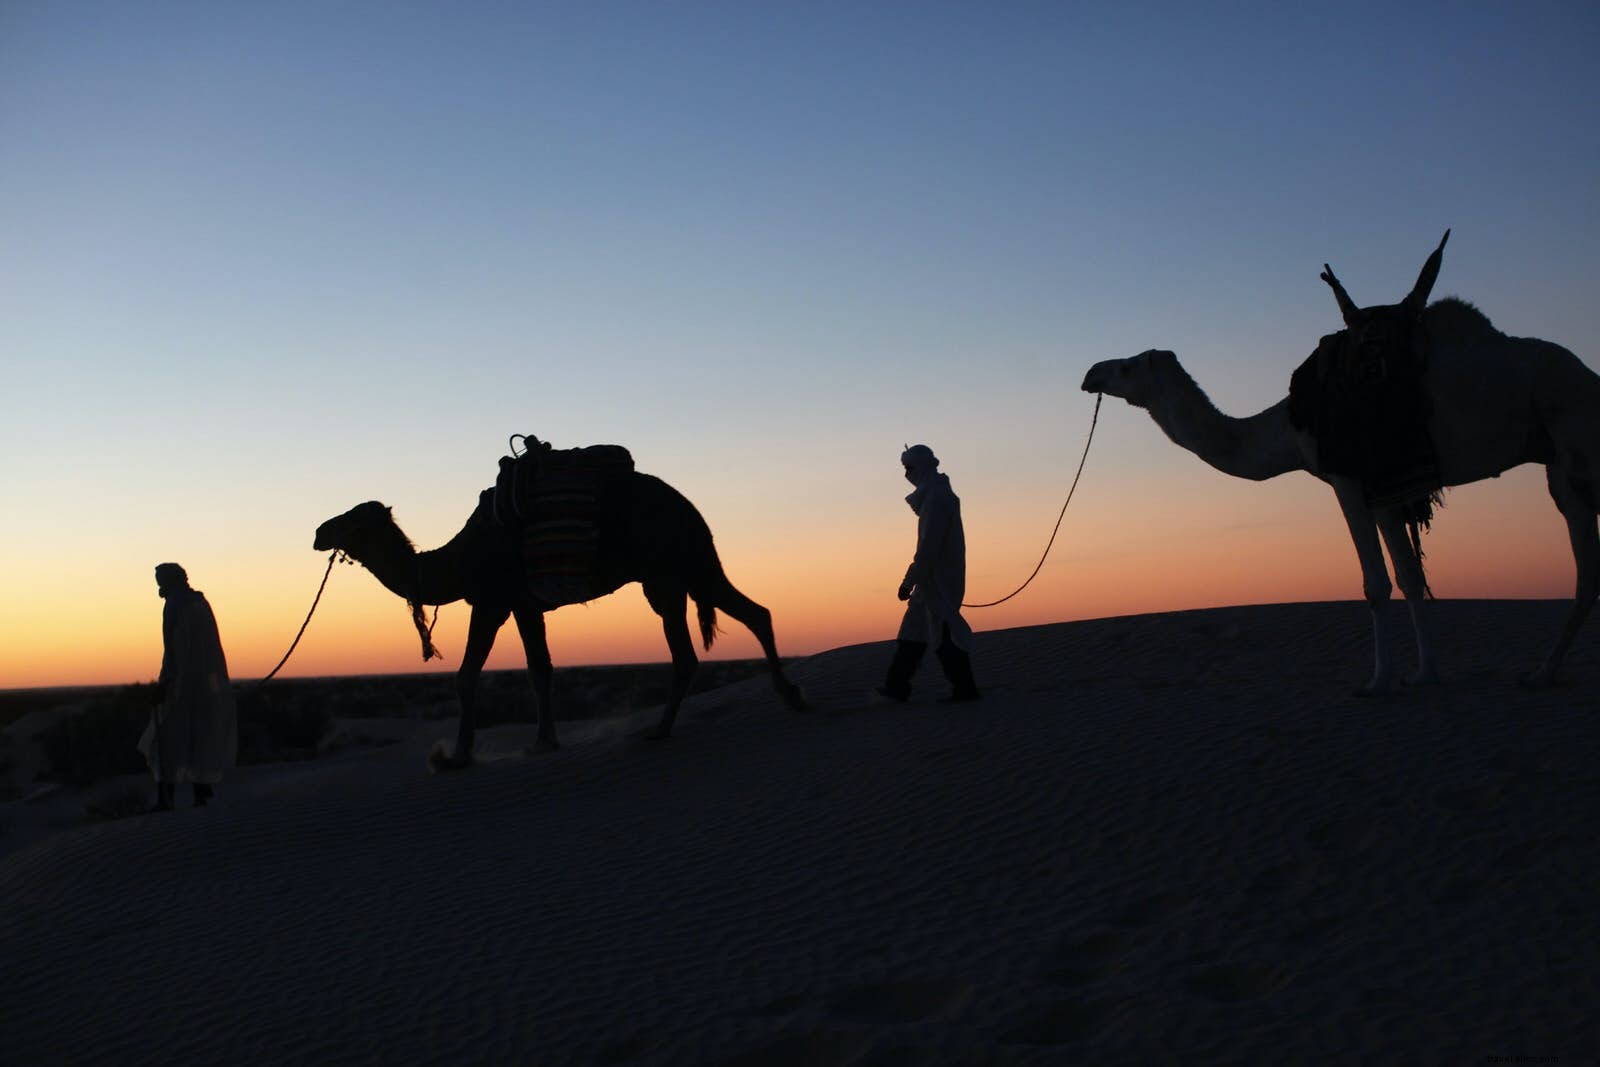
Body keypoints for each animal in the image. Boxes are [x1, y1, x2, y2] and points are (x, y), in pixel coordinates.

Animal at [313, 472, 806, 767]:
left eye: (354, 520)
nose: (319, 531)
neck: (460, 559)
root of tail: (687, 505)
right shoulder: (524, 605)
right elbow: (539, 670)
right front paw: (544, 741)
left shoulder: (493, 601)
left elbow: (467, 676)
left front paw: (457, 756)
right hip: (693, 565)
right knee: (755, 613)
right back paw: (790, 696)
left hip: (666, 572)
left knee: (687, 652)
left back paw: (661, 729)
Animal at [1081, 234, 1600, 693]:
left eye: (1126, 367)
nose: (1091, 374)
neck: (1290, 426)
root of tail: (1589, 376)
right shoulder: (1386, 489)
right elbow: (1410, 578)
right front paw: (1424, 675)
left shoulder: (1346, 479)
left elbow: (1375, 584)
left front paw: (1377, 682)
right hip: (1561, 464)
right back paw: (1542, 674)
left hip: (1576, 441)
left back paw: (1541, 674)